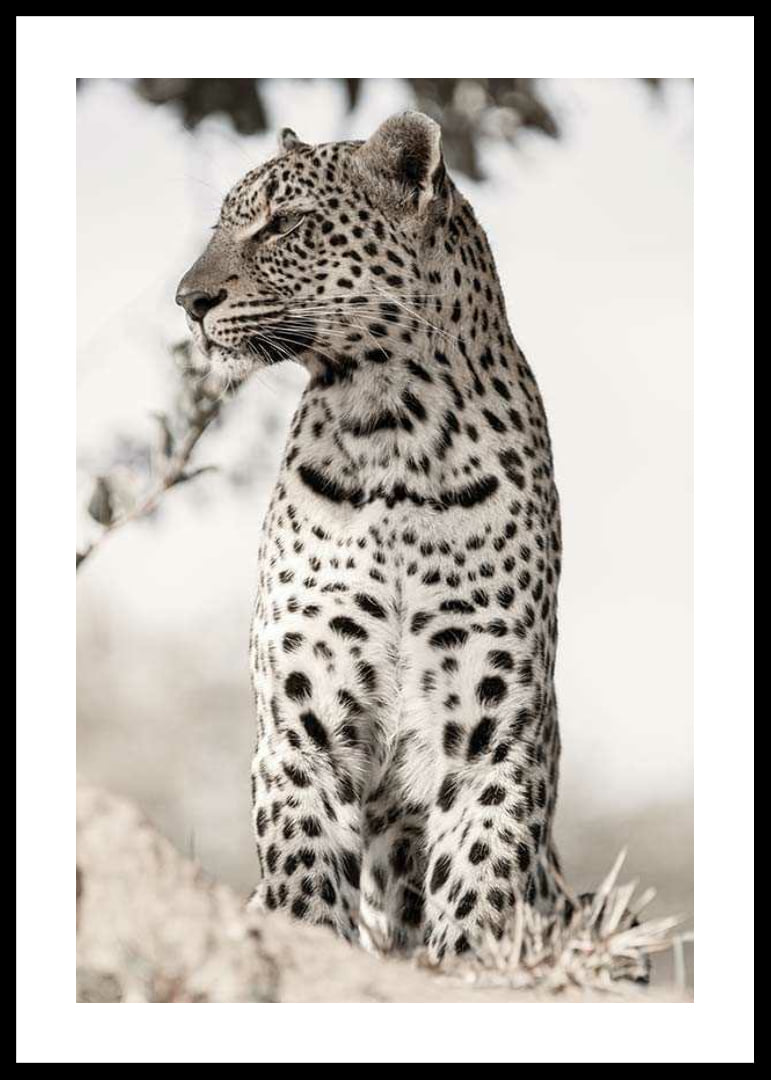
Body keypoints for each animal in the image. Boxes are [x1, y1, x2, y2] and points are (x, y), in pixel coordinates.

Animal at [176, 112, 563, 963]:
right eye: (222, 223)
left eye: (283, 224)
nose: (187, 300)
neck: (392, 429)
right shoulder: (301, 725)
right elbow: (302, 879)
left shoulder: (490, 737)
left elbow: (477, 887)